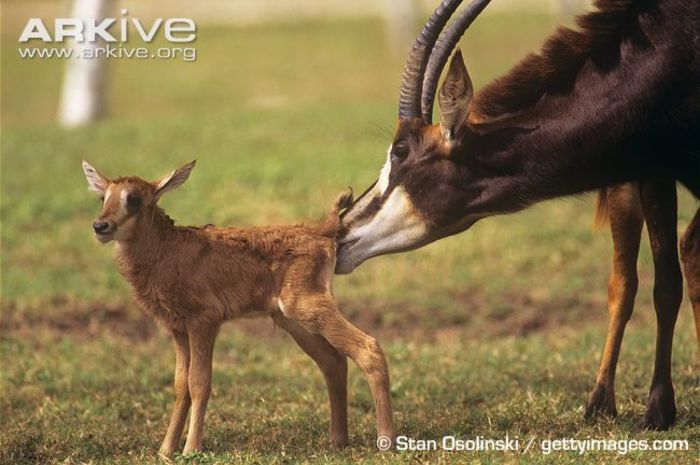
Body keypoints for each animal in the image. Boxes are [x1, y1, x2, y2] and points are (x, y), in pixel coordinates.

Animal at [80, 160, 394, 456]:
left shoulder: (205, 320)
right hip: (291, 319)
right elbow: (180, 385)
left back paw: (385, 440)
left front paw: (191, 448)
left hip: (307, 306)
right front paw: (165, 450)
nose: (100, 226)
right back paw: (339, 441)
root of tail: (324, 231)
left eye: (133, 198)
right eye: (103, 197)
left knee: (368, 348)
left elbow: (199, 383)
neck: (166, 253)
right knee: (334, 360)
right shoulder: (177, 328)